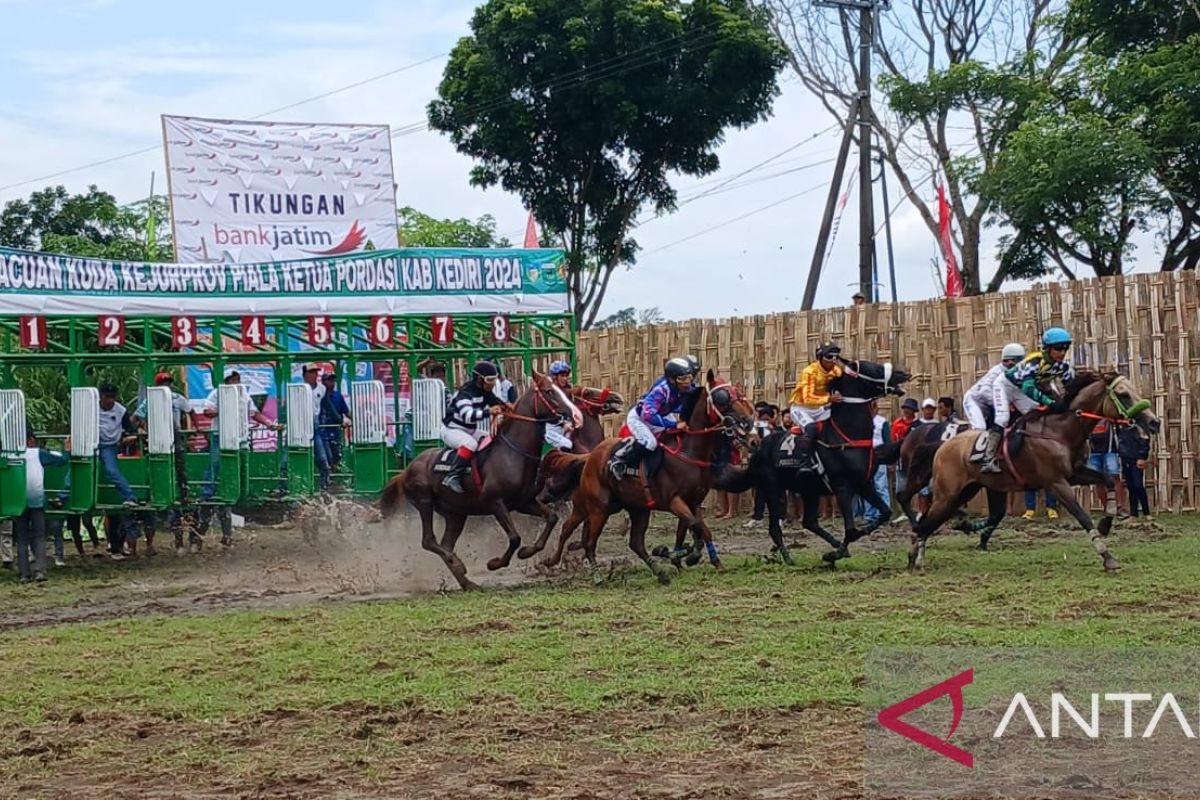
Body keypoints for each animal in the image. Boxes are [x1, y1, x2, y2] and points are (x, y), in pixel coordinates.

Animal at [374, 371, 580, 592]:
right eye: (549, 391)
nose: (574, 414)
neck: (513, 454)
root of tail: (405, 471)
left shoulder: (524, 503)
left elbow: (551, 518)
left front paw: (527, 552)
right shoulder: (496, 503)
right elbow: (515, 538)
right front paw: (495, 563)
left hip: (456, 514)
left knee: (445, 544)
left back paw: (467, 581)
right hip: (425, 503)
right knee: (429, 541)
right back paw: (458, 564)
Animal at [540, 371, 753, 585]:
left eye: (737, 392)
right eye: (722, 397)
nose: (748, 420)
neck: (688, 453)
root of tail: (590, 456)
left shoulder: (693, 502)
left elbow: (698, 530)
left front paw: (707, 561)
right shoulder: (674, 501)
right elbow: (695, 526)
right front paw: (684, 555)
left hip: (635, 508)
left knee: (633, 543)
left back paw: (660, 573)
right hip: (597, 507)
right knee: (585, 539)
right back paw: (589, 574)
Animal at [710, 359, 907, 566]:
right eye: (871, 368)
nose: (903, 374)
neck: (848, 435)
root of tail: (757, 450)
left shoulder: (863, 484)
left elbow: (884, 512)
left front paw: (839, 549)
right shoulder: (843, 487)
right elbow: (852, 530)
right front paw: (834, 554)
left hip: (809, 491)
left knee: (809, 522)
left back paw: (832, 545)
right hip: (775, 491)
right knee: (775, 528)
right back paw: (789, 558)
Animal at [912, 371, 1156, 573]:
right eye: (1123, 395)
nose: (1154, 422)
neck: (1060, 432)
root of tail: (943, 445)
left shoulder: (1074, 474)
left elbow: (1108, 480)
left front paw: (1106, 522)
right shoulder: (1056, 482)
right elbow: (1083, 516)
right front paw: (1108, 557)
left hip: (968, 490)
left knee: (934, 520)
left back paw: (918, 554)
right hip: (948, 495)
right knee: (926, 521)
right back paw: (918, 558)